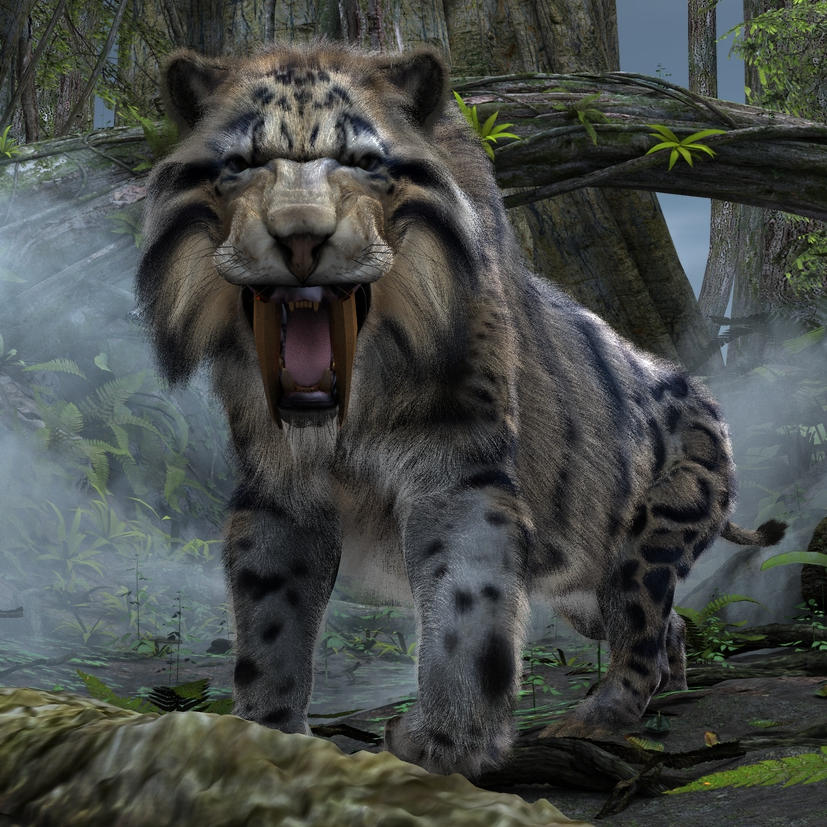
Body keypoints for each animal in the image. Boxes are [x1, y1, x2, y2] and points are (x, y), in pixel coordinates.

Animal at [136, 43, 786, 777]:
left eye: (364, 163)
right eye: (243, 164)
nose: (300, 238)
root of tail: (710, 403)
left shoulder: (458, 478)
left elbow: (464, 609)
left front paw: (446, 745)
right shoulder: (279, 494)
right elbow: (269, 621)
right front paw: (265, 739)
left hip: (642, 550)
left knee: (642, 636)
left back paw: (592, 721)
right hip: (586, 579)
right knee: (658, 625)